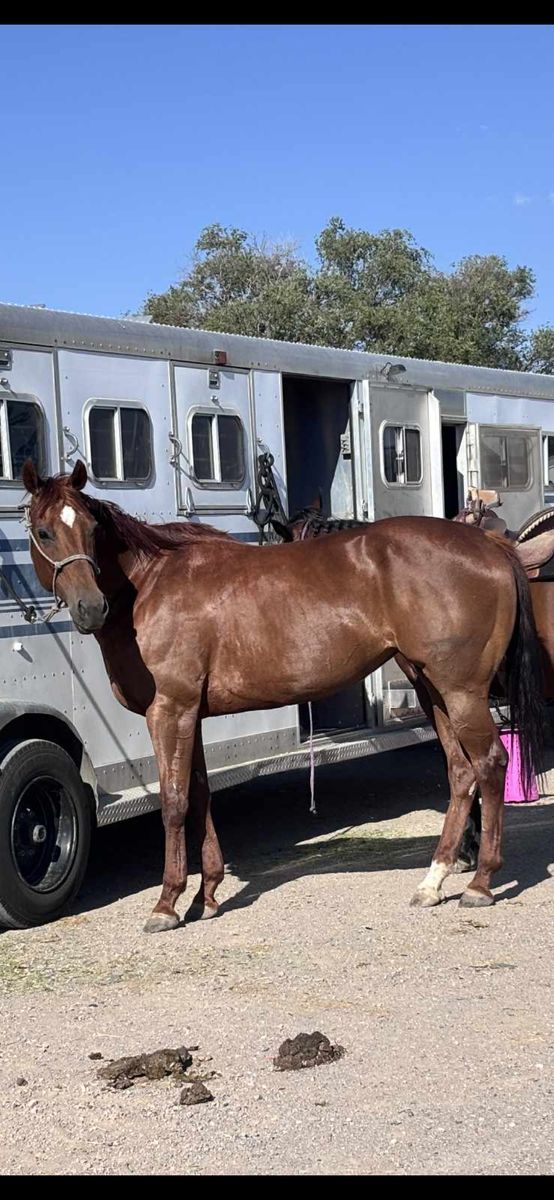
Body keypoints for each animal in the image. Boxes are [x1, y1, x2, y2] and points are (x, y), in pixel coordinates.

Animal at [22, 459, 543, 932]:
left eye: (91, 529)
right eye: (44, 532)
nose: (90, 607)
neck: (151, 587)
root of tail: (490, 546)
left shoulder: (169, 711)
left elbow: (174, 802)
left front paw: (167, 903)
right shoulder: (192, 714)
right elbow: (201, 795)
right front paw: (207, 894)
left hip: (461, 692)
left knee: (490, 764)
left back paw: (480, 883)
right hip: (432, 688)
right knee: (460, 772)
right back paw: (433, 882)